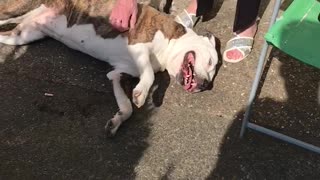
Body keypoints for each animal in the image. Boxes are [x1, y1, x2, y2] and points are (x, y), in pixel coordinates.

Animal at [0, 0, 219, 135]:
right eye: (211, 63)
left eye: (213, 72)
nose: (206, 85)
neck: (171, 40)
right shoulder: (138, 44)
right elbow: (148, 75)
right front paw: (142, 94)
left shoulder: (119, 74)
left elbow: (126, 106)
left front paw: (117, 121)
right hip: (20, 10)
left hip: (22, 36)